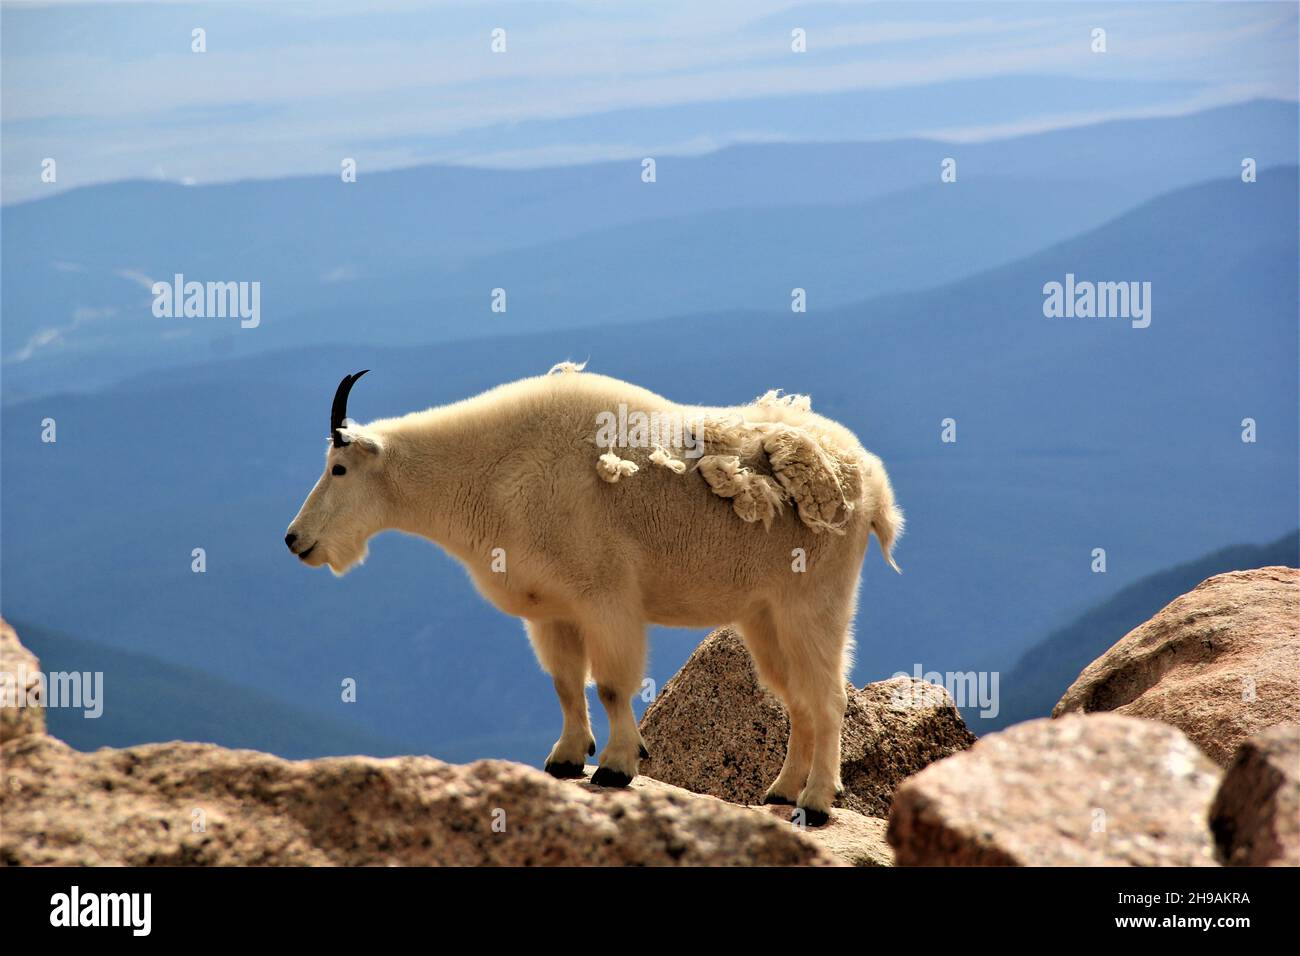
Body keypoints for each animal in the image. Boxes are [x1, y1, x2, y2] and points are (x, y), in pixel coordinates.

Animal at [286, 361, 899, 827]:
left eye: (338, 468)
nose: (295, 540)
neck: (491, 472)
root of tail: (872, 480)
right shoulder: (551, 610)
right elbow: (564, 683)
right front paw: (564, 759)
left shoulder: (607, 598)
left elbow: (608, 685)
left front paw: (616, 766)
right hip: (764, 615)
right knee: (796, 698)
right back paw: (780, 791)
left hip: (814, 601)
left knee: (828, 696)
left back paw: (816, 803)